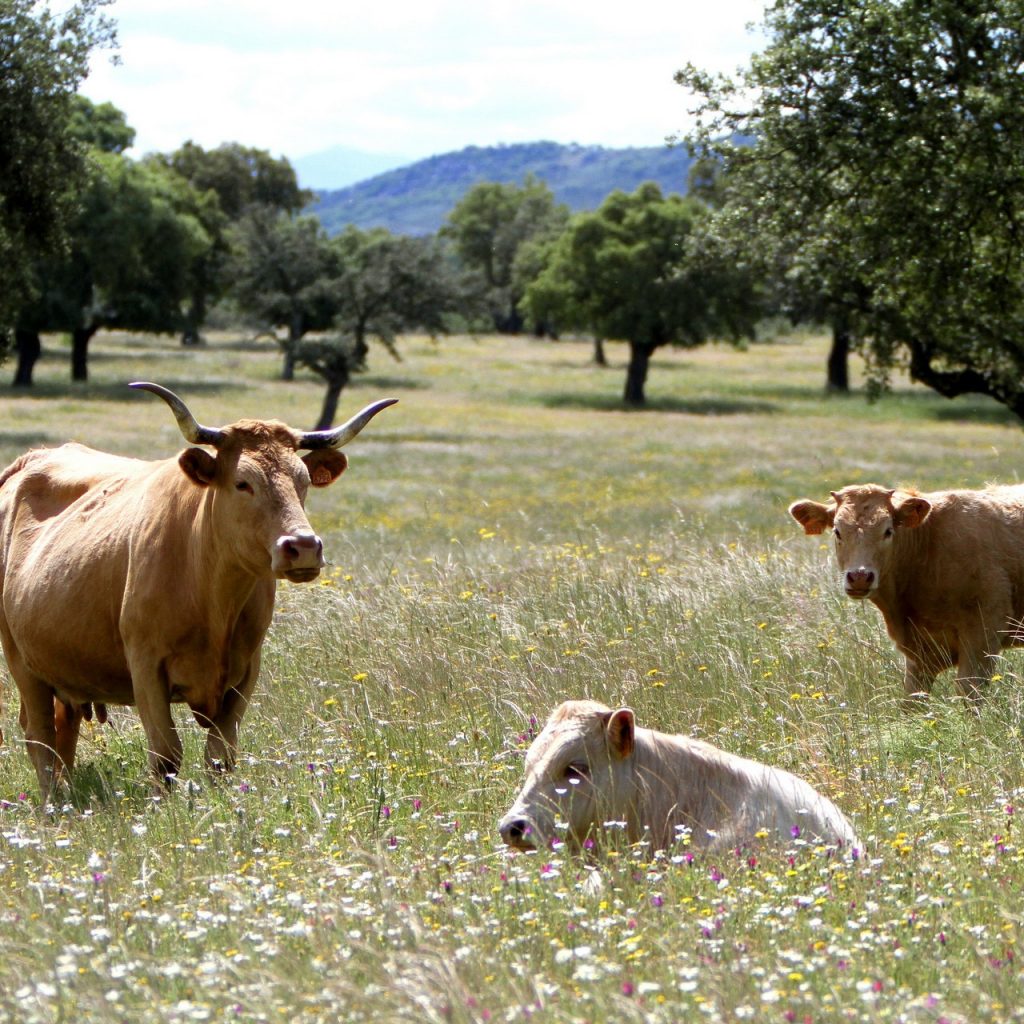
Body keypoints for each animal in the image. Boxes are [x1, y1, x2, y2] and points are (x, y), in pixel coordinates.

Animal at [0, 380, 395, 794]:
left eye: (303, 481)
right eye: (243, 483)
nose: (302, 546)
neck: (211, 596)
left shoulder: (246, 670)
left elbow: (220, 755)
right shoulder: (146, 665)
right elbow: (165, 755)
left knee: (63, 732)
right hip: (19, 659)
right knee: (39, 735)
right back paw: (52, 802)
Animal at [790, 483, 1024, 708]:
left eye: (888, 531)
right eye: (837, 531)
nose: (859, 576)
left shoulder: (984, 632)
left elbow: (969, 693)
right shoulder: (918, 657)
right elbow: (912, 702)